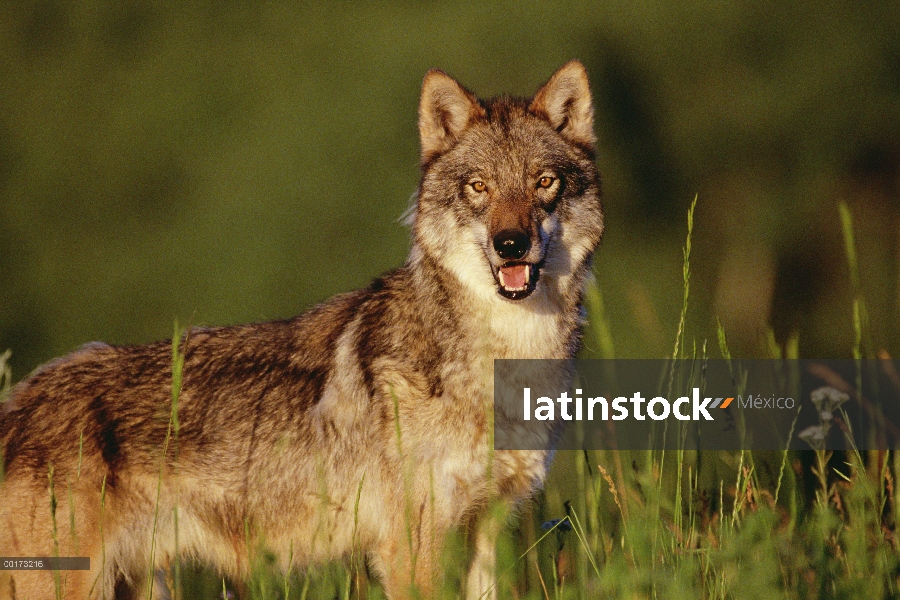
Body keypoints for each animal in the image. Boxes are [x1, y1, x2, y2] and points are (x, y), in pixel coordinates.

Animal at [1, 62, 604, 600]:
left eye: (544, 182)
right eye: (479, 186)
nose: (511, 244)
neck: (505, 359)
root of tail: (18, 400)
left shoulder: (488, 530)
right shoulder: (412, 548)